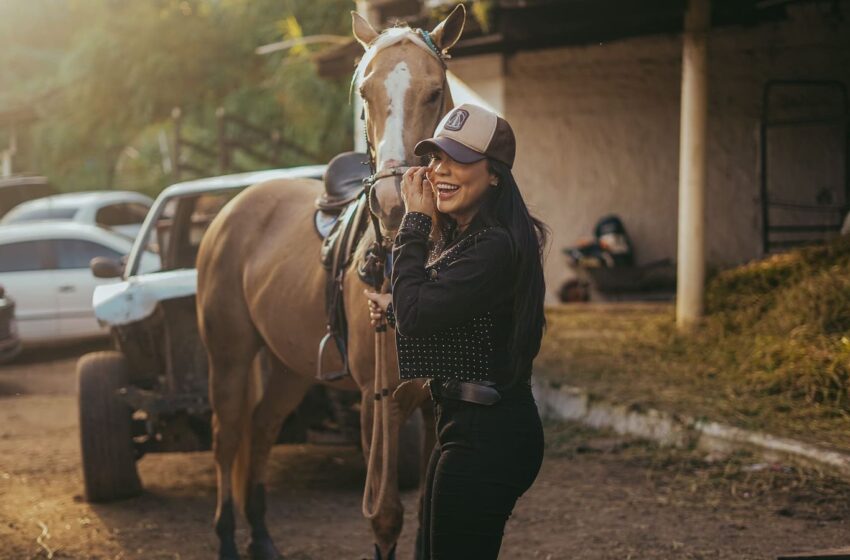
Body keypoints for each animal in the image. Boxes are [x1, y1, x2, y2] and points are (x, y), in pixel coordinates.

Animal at [195, 5, 464, 560]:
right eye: (366, 94)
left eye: (435, 92)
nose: (394, 203)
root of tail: (230, 209)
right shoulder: (377, 404)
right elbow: (386, 517)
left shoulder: (438, 404)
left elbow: (430, 511)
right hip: (229, 358)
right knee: (227, 437)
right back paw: (228, 537)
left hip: (287, 367)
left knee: (262, 429)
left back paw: (263, 537)